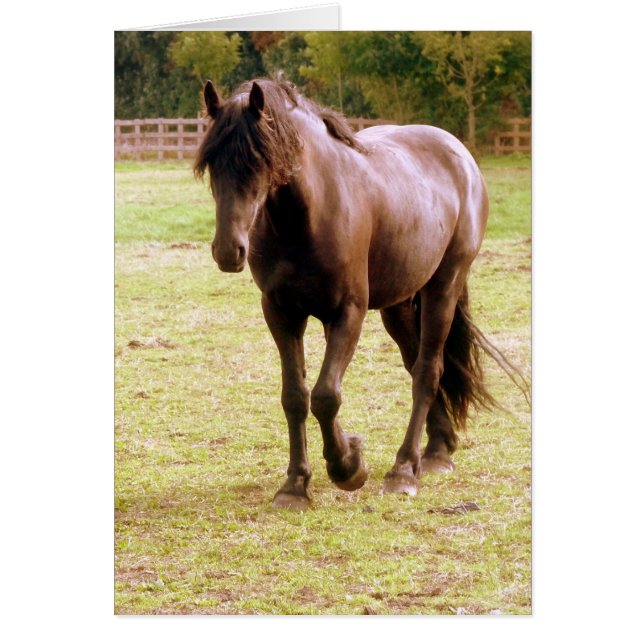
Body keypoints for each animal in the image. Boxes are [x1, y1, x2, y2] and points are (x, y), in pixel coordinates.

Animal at [195, 76, 519, 510]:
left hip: (443, 287)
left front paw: (349, 466)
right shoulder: (281, 313)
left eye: (259, 161)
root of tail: (459, 154)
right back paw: (437, 449)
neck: (306, 216)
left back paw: (404, 470)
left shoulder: (347, 312)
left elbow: (325, 395)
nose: (229, 251)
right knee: (416, 363)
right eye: (212, 163)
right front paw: (296, 484)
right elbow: (296, 396)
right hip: (399, 306)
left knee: (427, 371)